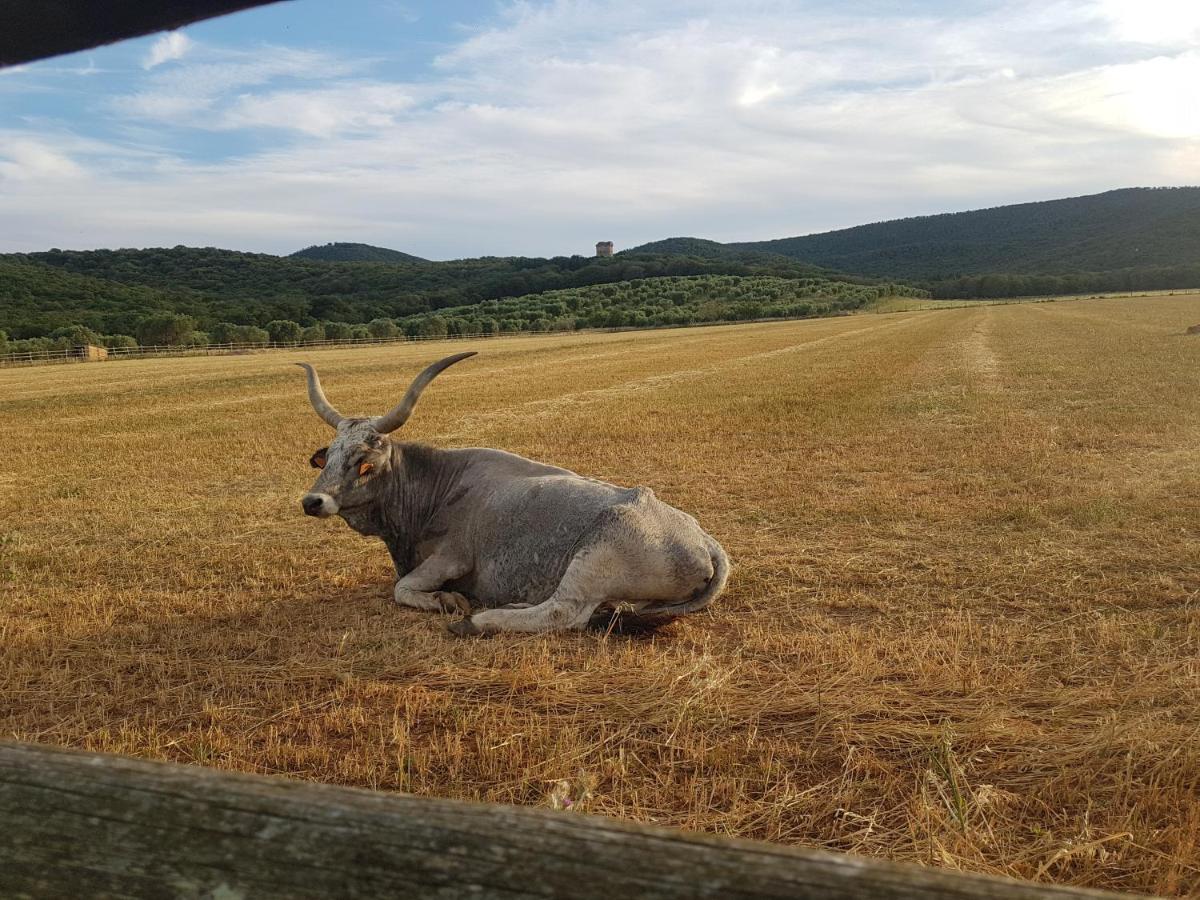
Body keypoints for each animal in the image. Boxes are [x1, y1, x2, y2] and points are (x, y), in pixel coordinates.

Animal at [300, 350, 729, 633]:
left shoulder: (453, 558)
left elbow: (402, 588)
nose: (312, 501)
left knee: (565, 613)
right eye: (329, 457)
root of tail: (704, 540)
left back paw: (480, 620)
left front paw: (448, 602)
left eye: (364, 463)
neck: (437, 486)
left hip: (594, 558)